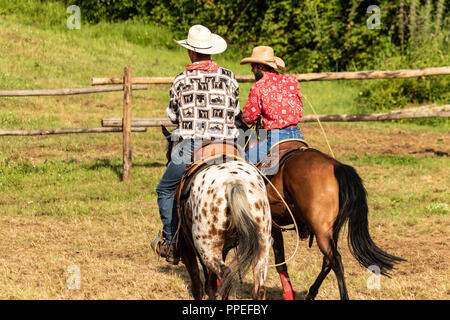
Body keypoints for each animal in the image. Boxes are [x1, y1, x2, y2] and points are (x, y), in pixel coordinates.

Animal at [163, 127, 272, 300]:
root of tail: (234, 183)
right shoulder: (224, 248)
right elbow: (210, 284)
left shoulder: (187, 246)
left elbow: (198, 285)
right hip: (262, 244)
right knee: (259, 287)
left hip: (207, 247)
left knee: (225, 275)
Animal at [236, 119, 404, 300]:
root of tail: (337, 167)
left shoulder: (271, 226)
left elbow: (278, 260)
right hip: (331, 230)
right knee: (328, 261)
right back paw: (311, 293)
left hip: (321, 230)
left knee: (335, 260)